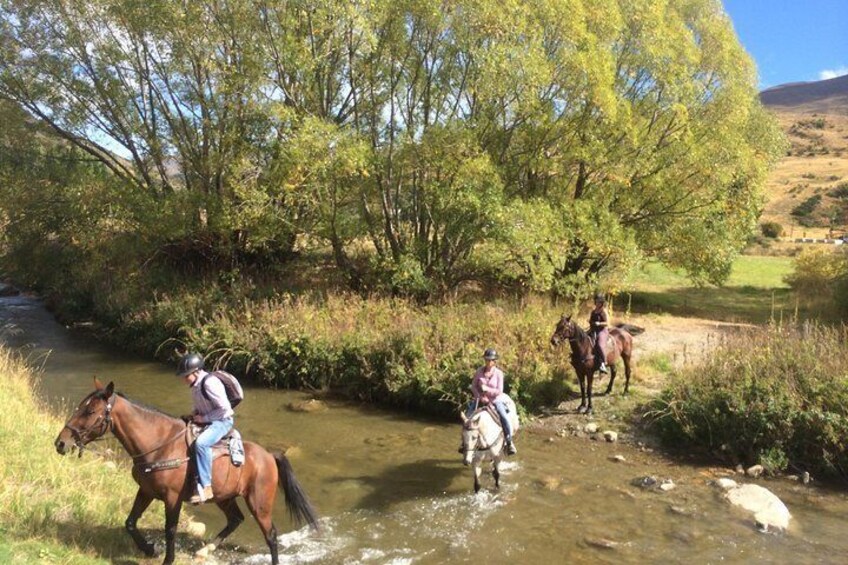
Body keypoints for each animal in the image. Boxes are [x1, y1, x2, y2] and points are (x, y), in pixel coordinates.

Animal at [53, 378, 318, 564]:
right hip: (224, 497)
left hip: (259, 502)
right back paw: (204, 550)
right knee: (236, 519)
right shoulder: (146, 491)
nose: (61, 443)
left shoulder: (172, 498)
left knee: (270, 535)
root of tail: (269, 456)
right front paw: (149, 549)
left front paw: (166, 559)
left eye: (89, 412)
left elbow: (170, 529)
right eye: (81, 407)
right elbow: (130, 522)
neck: (159, 444)